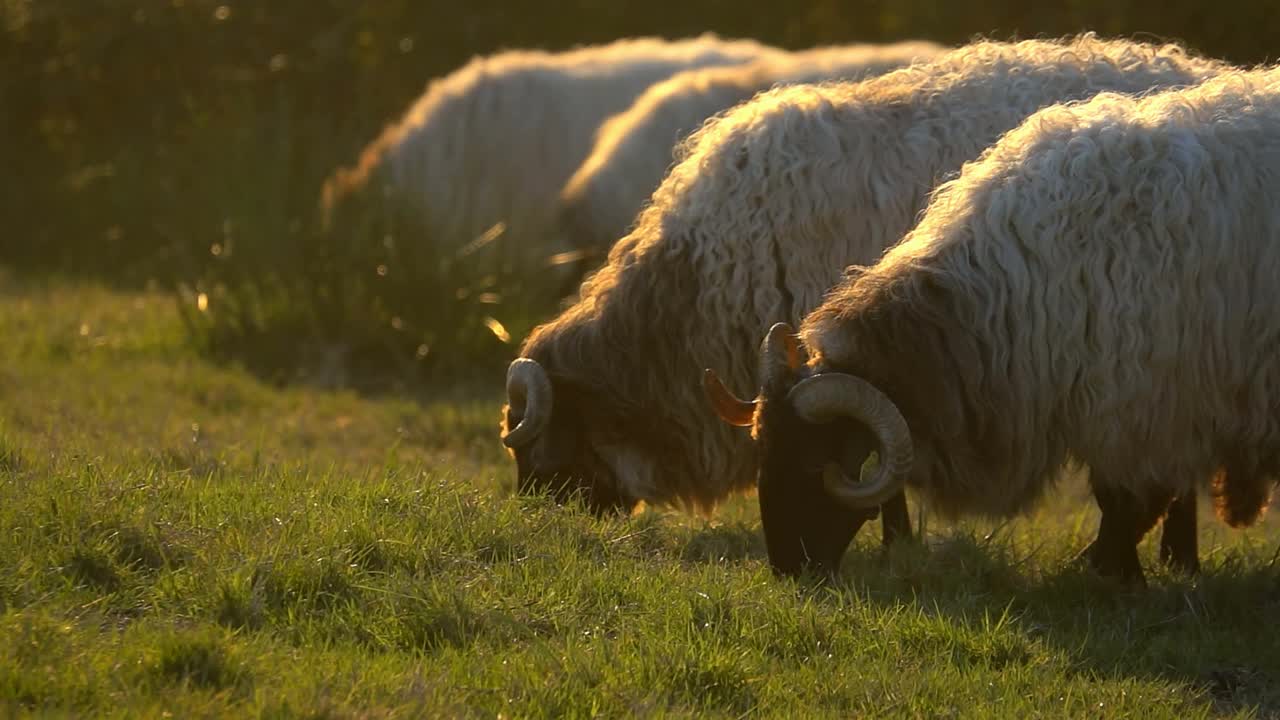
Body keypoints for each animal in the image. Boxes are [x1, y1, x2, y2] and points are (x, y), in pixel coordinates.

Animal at [737, 64, 1280, 586]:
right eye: (764, 454)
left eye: (815, 463)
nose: (789, 570)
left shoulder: (1144, 405)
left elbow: (1128, 500)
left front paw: (1116, 574)